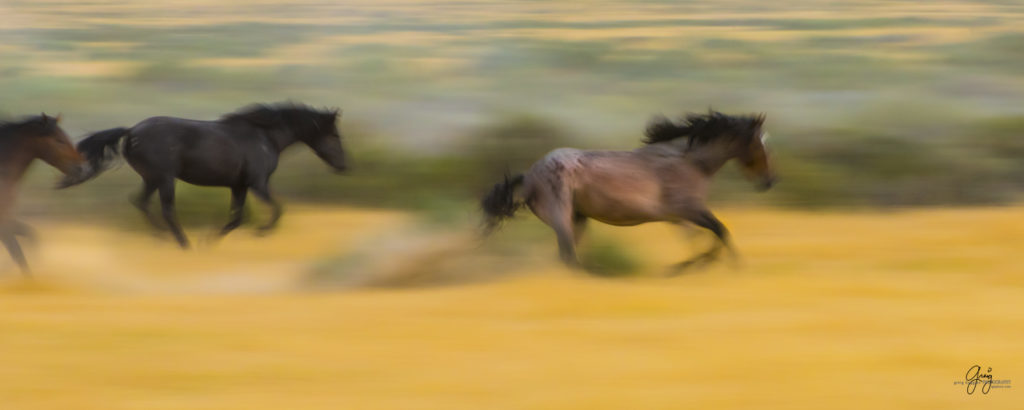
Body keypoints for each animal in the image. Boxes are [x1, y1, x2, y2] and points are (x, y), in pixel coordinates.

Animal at [1, 112, 88, 274]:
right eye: (59, 140)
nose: (82, 168)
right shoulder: (3, 224)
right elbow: (19, 255)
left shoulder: (7, 220)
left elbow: (31, 236)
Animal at [479, 110, 774, 274]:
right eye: (758, 144)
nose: (768, 181)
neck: (690, 162)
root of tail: (530, 175)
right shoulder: (686, 209)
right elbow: (719, 230)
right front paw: (729, 266)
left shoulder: (678, 217)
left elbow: (706, 237)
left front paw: (692, 265)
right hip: (561, 216)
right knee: (568, 256)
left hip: (578, 219)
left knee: (567, 256)